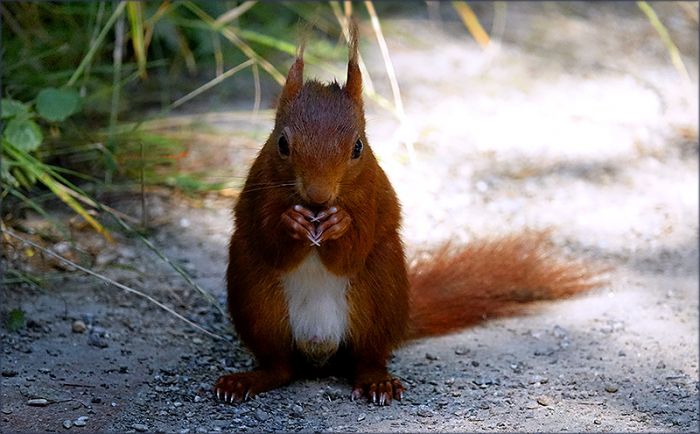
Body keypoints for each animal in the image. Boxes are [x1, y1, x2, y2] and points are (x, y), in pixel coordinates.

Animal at [214, 22, 601, 406]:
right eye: (282, 144)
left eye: (358, 147)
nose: (319, 196)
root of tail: (319, 351)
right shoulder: (257, 194)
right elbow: (269, 241)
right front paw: (290, 222)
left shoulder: (371, 199)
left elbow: (352, 251)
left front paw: (340, 224)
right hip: (257, 300)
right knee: (280, 366)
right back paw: (247, 380)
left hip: (379, 293)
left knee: (367, 358)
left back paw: (377, 382)